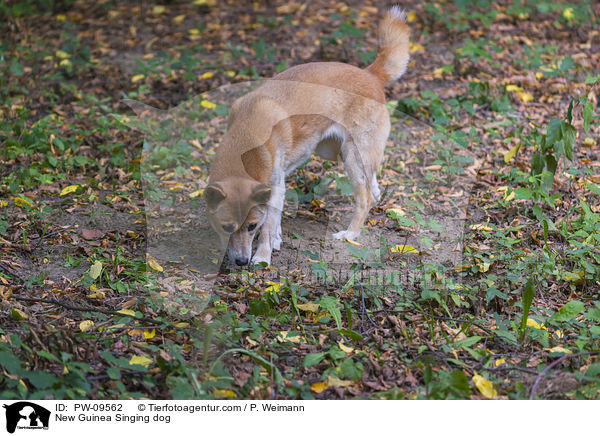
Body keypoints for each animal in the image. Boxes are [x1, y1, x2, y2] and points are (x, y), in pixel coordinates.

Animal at [204, 6, 410, 266]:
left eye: (251, 227)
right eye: (226, 227)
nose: (241, 261)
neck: (246, 134)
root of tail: (370, 74)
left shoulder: (275, 187)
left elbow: (268, 226)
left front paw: (263, 256)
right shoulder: (276, 185)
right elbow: (273, 220)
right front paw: (276, 239)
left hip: (351, 156)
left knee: (365, 199)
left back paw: (350, 233)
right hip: (337, 152)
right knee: (372, 182)